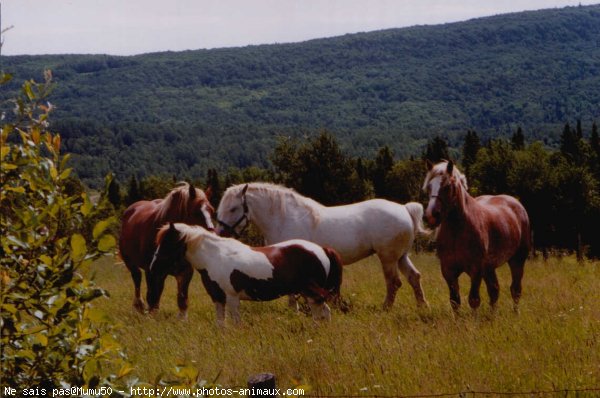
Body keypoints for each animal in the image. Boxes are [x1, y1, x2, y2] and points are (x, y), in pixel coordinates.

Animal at [118, 183, 214, 318]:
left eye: (212, 210)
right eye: (196, 212)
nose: (212, 235)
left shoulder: (185, 272)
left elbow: (182, 299)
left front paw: (182, 318)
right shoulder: (151, 271)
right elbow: (151, 296)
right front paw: (151, 316)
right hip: (131, 263)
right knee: (137, 279)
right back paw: (139, 305)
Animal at [150, 222, 342, 324]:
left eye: (167, 243)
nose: (153, 267)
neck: (214, 257)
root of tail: (322, 249)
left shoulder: (232, 298)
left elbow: (236, 324)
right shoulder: (218, 299)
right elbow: (221, 324)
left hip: (311, 294)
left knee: (320, 314)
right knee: (325, 312)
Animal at [216, 182, 426, 310]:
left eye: (233, 208)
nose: (220, 233)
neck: (284, 218)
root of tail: (404, 209)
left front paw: (294, 311)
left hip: (388, 258)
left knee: (394, 283)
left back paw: (386, 308)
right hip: (401, 257)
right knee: (414, 277)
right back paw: (422, 306)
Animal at [422, 160, 528, 312]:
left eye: (447, 186)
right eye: (429, 187)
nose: (431, 215)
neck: (457, 230)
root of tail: (516, 203)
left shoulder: (476, 270)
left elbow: (474, 300)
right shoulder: (448, 271)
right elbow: (455, 301)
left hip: (517, 260)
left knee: (515, 290)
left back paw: (515, 313)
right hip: (489, 268)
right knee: (494, 290)